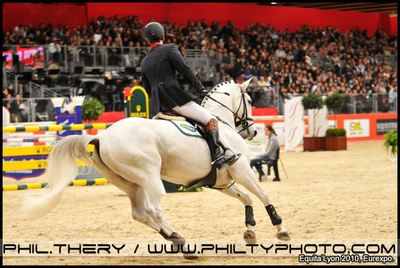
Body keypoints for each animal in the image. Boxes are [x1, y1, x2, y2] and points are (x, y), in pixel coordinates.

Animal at [21, 78, 290, 258]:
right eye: (250, 100)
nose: (252, 131)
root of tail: (103, 137)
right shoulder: (242, 170)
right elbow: (263, 195)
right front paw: (280, 229)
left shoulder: (222, 182)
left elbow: (247, 198)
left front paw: (250, 231)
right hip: (149, 176)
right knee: (154, 209)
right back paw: (185, 245)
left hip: (130, 183)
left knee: (139, 213)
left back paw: (176, 239)